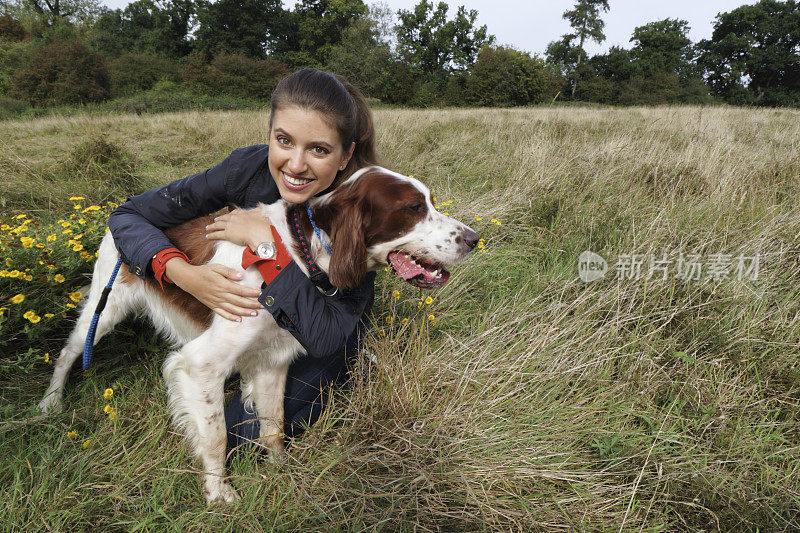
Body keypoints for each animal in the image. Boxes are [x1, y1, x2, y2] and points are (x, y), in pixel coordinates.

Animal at [40, 166, 478, 502]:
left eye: (429, 202)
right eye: (413, 208)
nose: (474, 239)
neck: (299, 255)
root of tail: (120, 211)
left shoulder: (273, 362)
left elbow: (274, 426)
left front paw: (281, 472)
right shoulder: (202, 364)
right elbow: (216, 434)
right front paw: (219, 494)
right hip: (104, 306)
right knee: (67, 353)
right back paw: (50, 404)